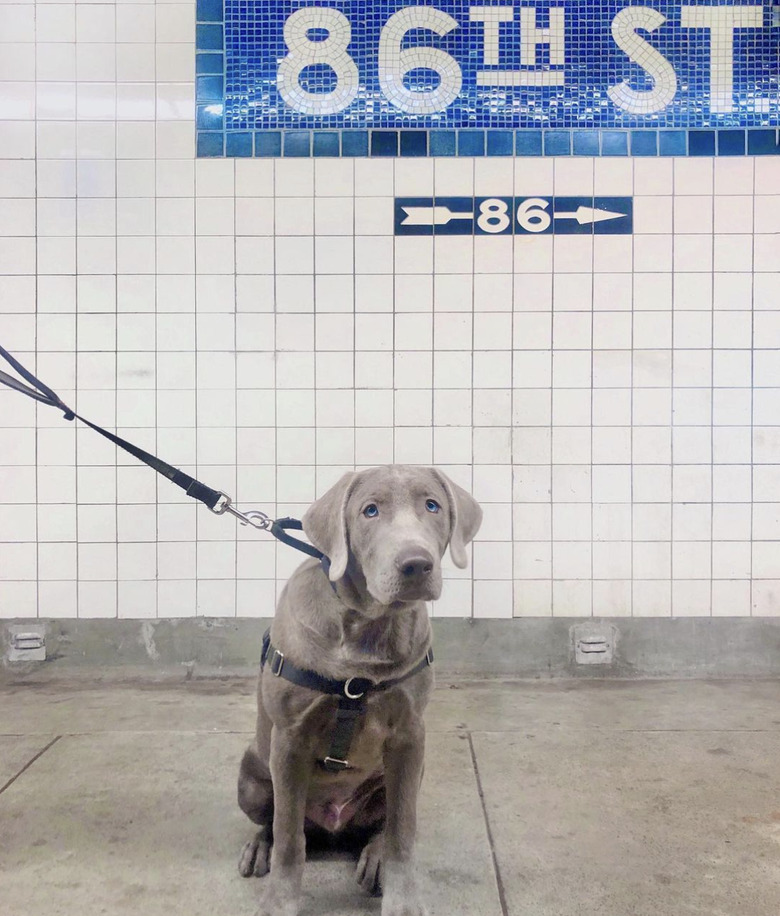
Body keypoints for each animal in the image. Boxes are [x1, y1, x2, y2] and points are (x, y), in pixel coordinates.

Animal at [236, 466, 482, 916]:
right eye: (370, 510)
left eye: (432, 505)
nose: (416, 564)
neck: (368, 629)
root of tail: (333, 823)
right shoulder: (289, 739)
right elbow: (288, 836)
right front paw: (280, 900)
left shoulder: (409, 736)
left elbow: (403, 829)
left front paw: (403, 900)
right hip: (251, 777)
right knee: (276, 822)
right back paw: (260, 847)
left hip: (408, 773)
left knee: (382, 826)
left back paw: (375, 856)